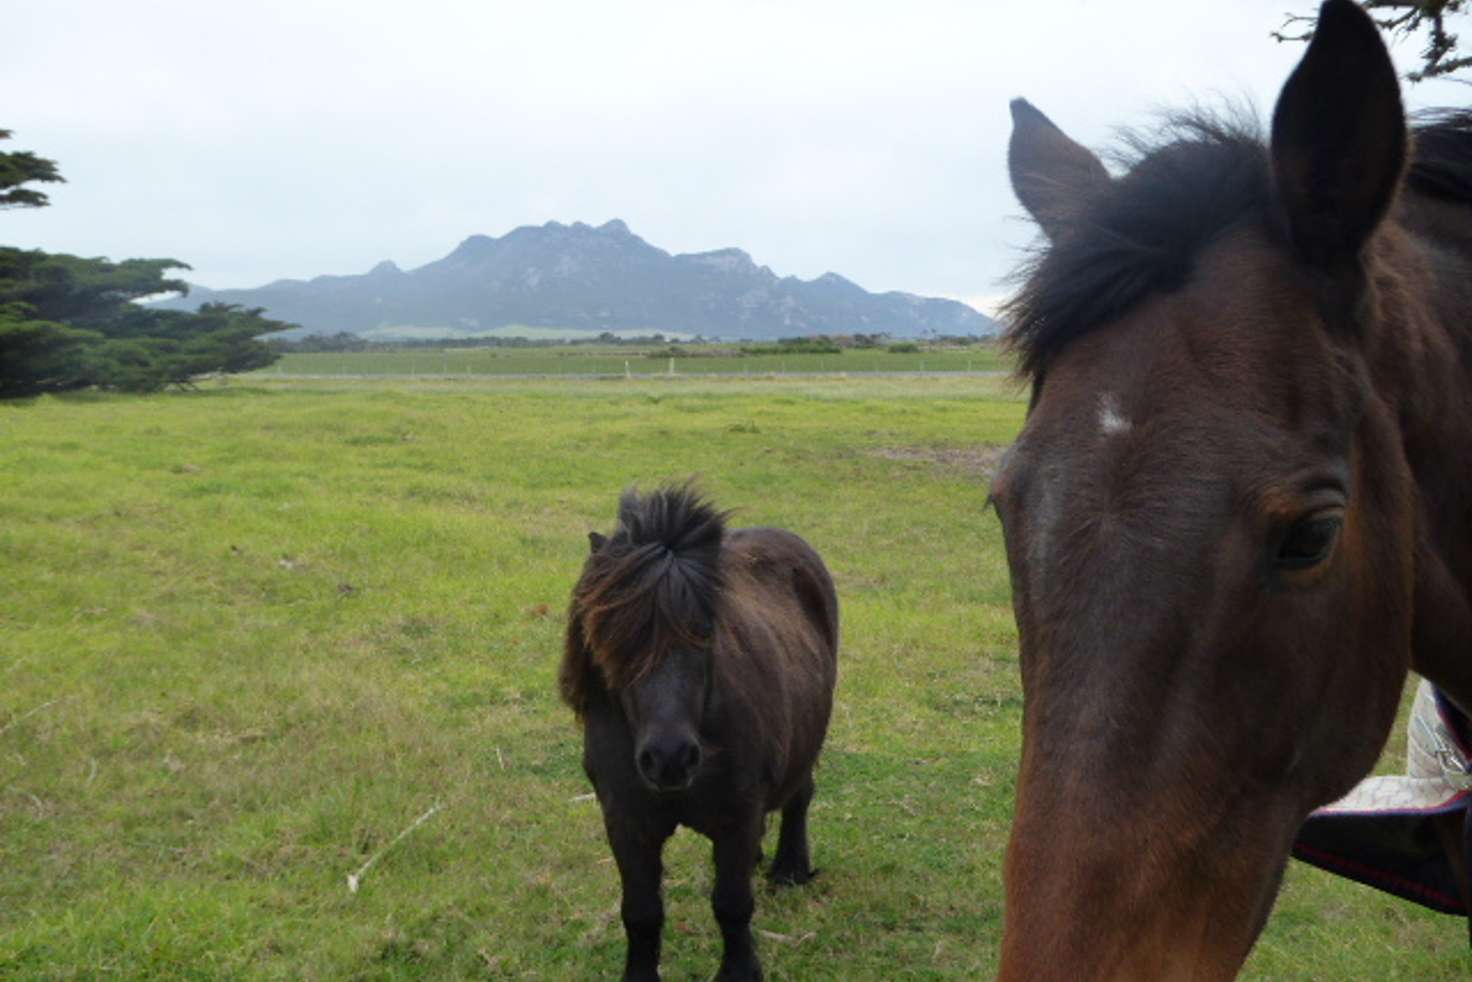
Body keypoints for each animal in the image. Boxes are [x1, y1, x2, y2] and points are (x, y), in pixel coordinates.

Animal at [559, 488, 841, 982]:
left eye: (705, 632)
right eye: (615, 636)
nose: (670, 758)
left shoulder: (737, 815)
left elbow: (732, 904)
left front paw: (741, 972)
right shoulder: (626, 821)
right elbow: (641, 912)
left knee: (799, 796)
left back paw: (789, 869)